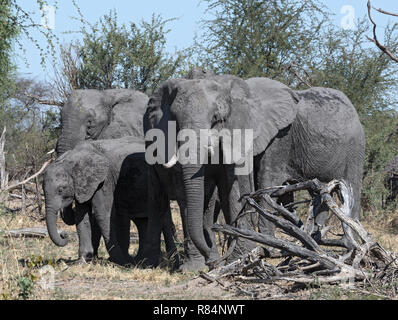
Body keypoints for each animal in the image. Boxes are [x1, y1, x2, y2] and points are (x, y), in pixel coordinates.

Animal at [41, 136, 176, 266]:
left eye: (60, 190)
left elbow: (103, 214)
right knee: (142, 221)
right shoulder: (85, 185)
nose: (64, 235)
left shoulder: (104, 181)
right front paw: (81, 262)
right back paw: (141, 260)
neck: (73, 158)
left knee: (163, 219)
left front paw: (121, 262)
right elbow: (82, 218)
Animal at [145, 73, 366, 268]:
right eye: (174, 119)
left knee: (351, 191)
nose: (212, 261)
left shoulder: (280, 137)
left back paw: (349, 246)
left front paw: (261, 250)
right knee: (320, 194)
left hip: (355, 148)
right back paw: (315, 241)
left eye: (217, 118)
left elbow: (263, 183)